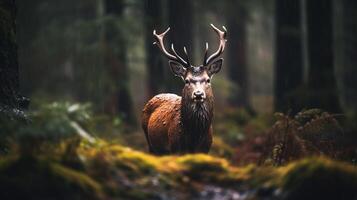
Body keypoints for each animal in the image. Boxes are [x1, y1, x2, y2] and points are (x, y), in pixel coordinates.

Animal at [141, 23, 227, 155]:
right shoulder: (175, 147)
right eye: (187, 80)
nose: (198, 94)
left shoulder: (206, 148)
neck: (195, 137)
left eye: (208, 80)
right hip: (150, 142)